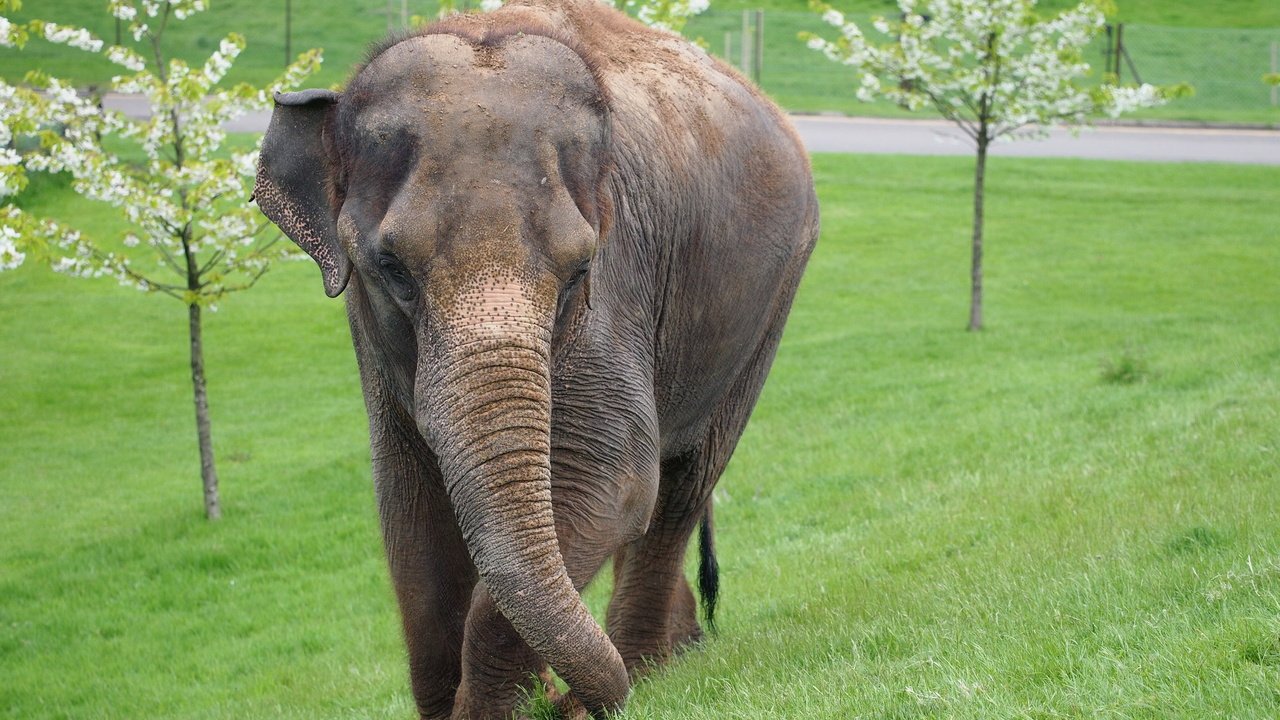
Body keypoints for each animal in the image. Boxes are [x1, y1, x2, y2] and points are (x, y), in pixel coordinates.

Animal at [256, 0, 819, 712]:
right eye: (389, 267)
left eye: (580, 269)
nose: (560, 699)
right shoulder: (368, 329)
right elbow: (409, 510)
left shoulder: (617, 286)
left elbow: (611, 478)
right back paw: (673, 651)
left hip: (772, 298)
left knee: (684, 483)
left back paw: (646, 668)